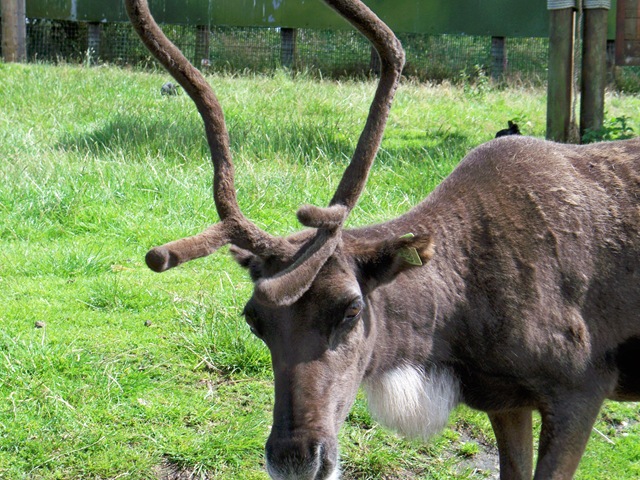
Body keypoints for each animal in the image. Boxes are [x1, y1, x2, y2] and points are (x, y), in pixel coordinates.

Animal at [125, 0, 640, 478]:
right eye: (254, 320)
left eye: (352, 309)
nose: (295, 459)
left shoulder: (580, 387)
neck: (456, 326)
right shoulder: (506, 399)